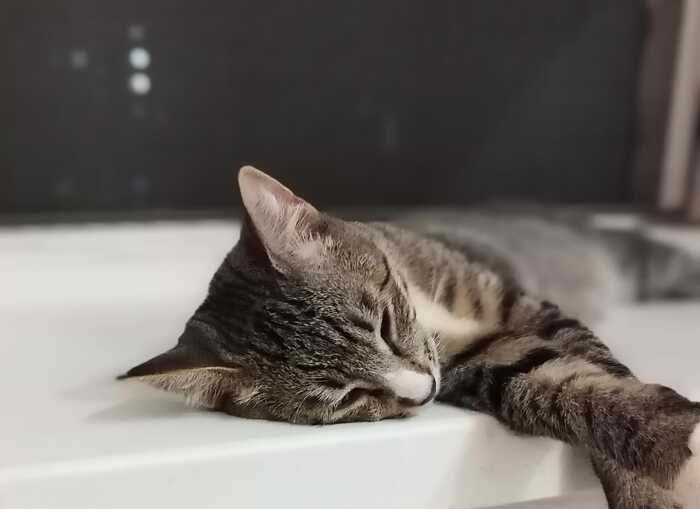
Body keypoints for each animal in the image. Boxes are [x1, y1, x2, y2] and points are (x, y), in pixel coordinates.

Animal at [120, 166, 700, 509]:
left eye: (383, 324)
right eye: (349, 397)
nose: (424, 393)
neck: (427, 306)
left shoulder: (525, 308)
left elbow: (601, 366)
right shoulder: (474, 362)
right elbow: (555, 387)